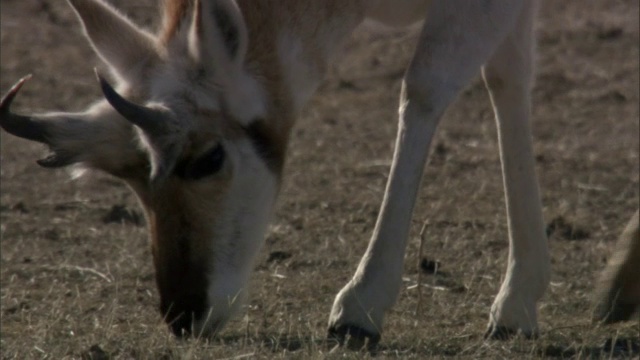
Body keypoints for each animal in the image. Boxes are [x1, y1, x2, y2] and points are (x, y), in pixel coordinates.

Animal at [0, 0, 552, 344]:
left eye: (209, 158)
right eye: (131, 176)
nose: (183, 314)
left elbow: (424, 90)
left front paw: (358, 309)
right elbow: (508, 78)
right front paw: (517, 305)